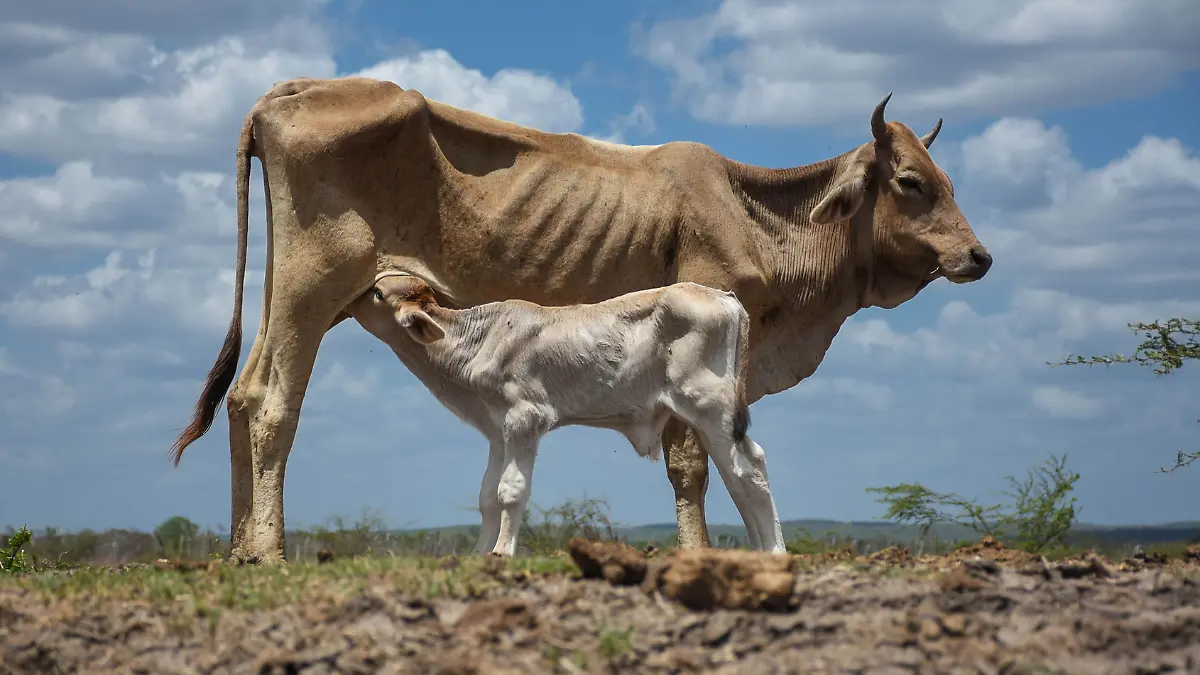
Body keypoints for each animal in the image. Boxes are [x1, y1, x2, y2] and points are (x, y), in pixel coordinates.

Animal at [343, 270, 787, 554]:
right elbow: (487, 496)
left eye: (378, 294)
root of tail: (724, 297)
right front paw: (479, 555)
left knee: (748, 471)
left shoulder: (525, 418)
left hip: (709, 406)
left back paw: (775, 551)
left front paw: (501, 553)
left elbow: (510, 491)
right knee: (738, 475)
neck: (479, 340)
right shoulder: (497, 431)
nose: (348, 300)